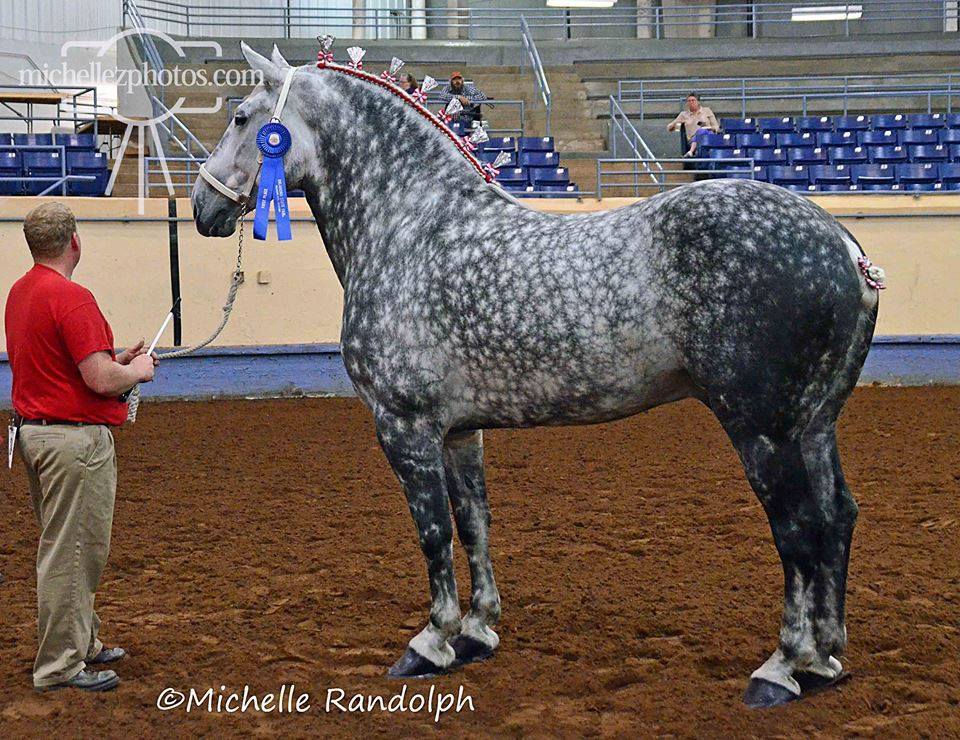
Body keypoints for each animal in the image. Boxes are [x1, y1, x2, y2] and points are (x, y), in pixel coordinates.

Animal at [191, 43, 880, 708]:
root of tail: (845, 246)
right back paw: (824, 660)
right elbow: (473, 522)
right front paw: (476, 632)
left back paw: (783, 666)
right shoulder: (458, 431)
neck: (411, 226)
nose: (201, 207)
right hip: (813, 425)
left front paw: (431, 640)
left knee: (798, 530)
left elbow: (432, 531)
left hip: (761, 428)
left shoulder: (403, 425)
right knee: (837, 516)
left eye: (241, 118)